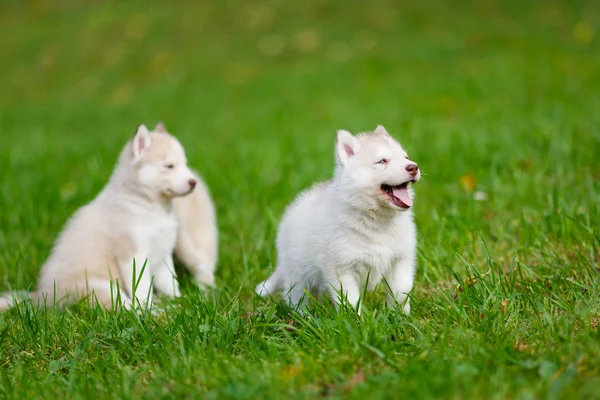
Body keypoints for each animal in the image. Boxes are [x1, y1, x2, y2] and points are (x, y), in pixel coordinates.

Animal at [1, 123, 200, 310]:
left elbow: (170, 283)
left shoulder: (163, 254)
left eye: (185, 164)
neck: (151, 207)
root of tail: (42, 297)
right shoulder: (132, 256)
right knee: (123, 305)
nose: (194, 182)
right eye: (169, 166)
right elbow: (142, 290)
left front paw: (177, 302)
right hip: (103, 287)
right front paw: (148, 310)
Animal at [255, 123, 420, 314]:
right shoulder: (342, 269)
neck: (378, 220)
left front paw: (400, 316)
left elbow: (400, 292)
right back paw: (303, 316)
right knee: (296, 297)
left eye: (406, 157)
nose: (413, 167)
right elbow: (351, 301)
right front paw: (356, 320)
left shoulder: (400, 261)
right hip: (298, 274)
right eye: (382, 161)